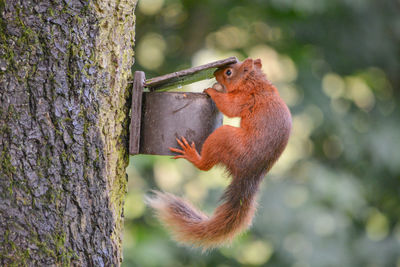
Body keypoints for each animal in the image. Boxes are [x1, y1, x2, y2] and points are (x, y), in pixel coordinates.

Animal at [146, 58, 290, 251]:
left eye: (228, 72)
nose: (214, 73)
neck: (255, 83)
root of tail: (250, 174)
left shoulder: (244, 99)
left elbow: (230, 107)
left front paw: (212, 90)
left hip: (225, 138)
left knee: (205, 166)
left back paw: (192, 155)